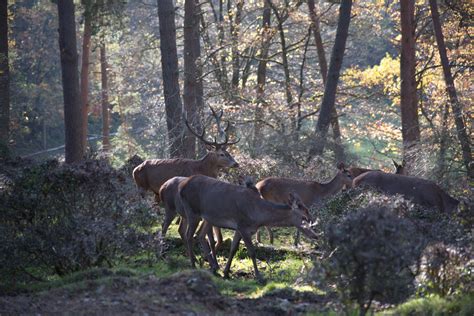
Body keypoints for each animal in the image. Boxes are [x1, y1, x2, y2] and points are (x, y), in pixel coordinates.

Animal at [179, 175, 318, 284]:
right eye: (304, 217)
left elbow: (233, 249)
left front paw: (226, 272)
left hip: (208, 217)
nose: (315, 235)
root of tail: (182, 186)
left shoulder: (239, 228)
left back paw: (212, 266)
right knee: (188, 235)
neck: (258, 216)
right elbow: (251, 251)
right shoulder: (243, 226)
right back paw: (193, 264)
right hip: (192, 211)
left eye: (308, 212)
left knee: (200, 235)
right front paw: (259, 277)